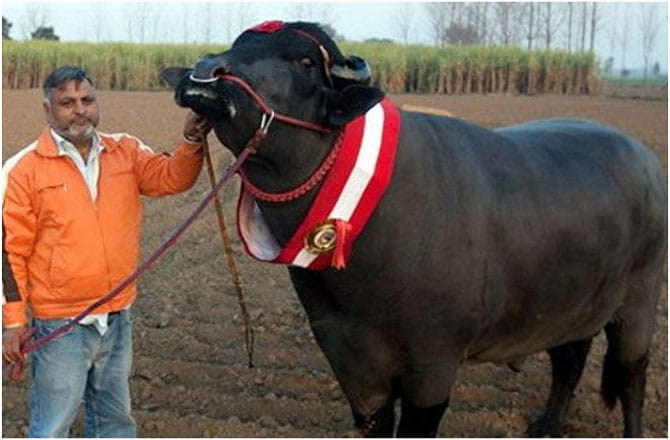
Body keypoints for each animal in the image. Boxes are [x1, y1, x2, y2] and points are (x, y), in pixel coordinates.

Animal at [162, 21, 666, 437]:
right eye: (239, 44)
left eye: (304, 61)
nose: (205, 72)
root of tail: (643, 157)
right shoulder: (349, 360)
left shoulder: (433, 363)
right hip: (567, 305)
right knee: (569, 360)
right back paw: (546, 426)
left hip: (638, 304)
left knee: (631, 377)